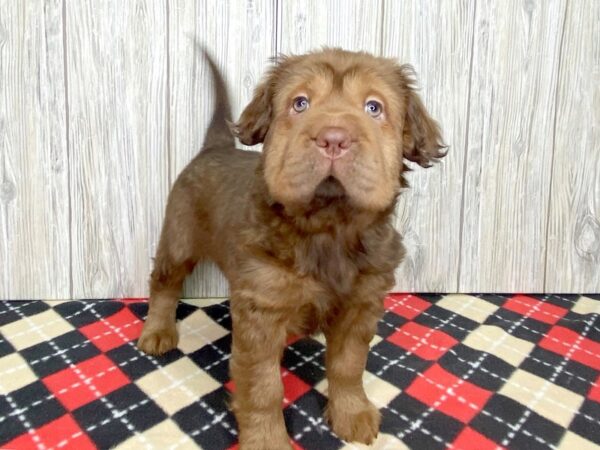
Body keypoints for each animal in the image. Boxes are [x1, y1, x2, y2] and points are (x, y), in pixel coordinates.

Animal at [138, 47, 442, 448]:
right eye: (300, 103)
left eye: (374, 107)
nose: (334, 138)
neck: (327, 228)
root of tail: (213, 148)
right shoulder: (262, 312)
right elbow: (263, 386)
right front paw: (268, 438)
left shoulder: (361, 305)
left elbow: (348, 366)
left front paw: (351, 412)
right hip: (179, 236)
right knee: (164, 282)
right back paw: (157, 331)